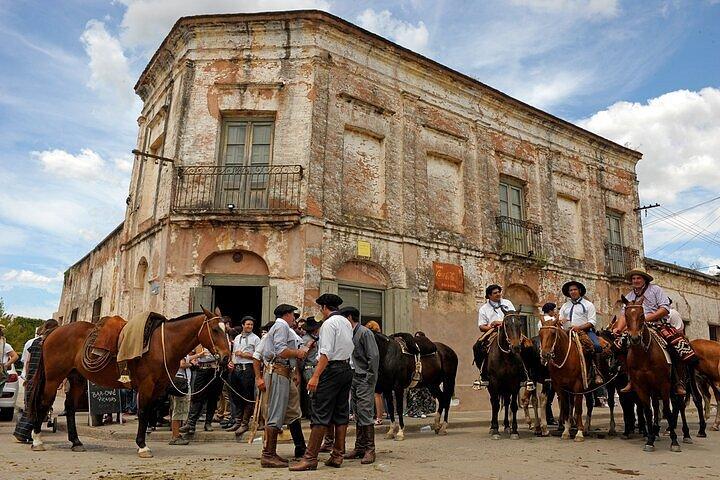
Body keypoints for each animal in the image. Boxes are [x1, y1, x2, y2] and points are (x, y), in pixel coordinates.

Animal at [27, 308, 231, 458]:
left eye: (227, 330)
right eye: (215, 330)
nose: (226, 357)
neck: (163, 343)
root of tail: (53, 333)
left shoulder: (158, 388)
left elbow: (149, 412)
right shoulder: (147, 385)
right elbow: (143, 412)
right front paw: (142, 446)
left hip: (76, 378)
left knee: (69, 407)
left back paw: (76, 442)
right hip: (54, 378)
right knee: (44, 403)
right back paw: (37, 439)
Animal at [620, 294, 684, 452]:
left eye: (642, 315)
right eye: (626, 315)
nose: (634, 338)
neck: (644, 356)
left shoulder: (664, 384)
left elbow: (667, 410)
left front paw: (674, 442)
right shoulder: (641, 386)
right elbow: (648, 411)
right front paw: (649, 440)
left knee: (677, 406)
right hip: (653, 389)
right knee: (655, 407)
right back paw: (654, 432)